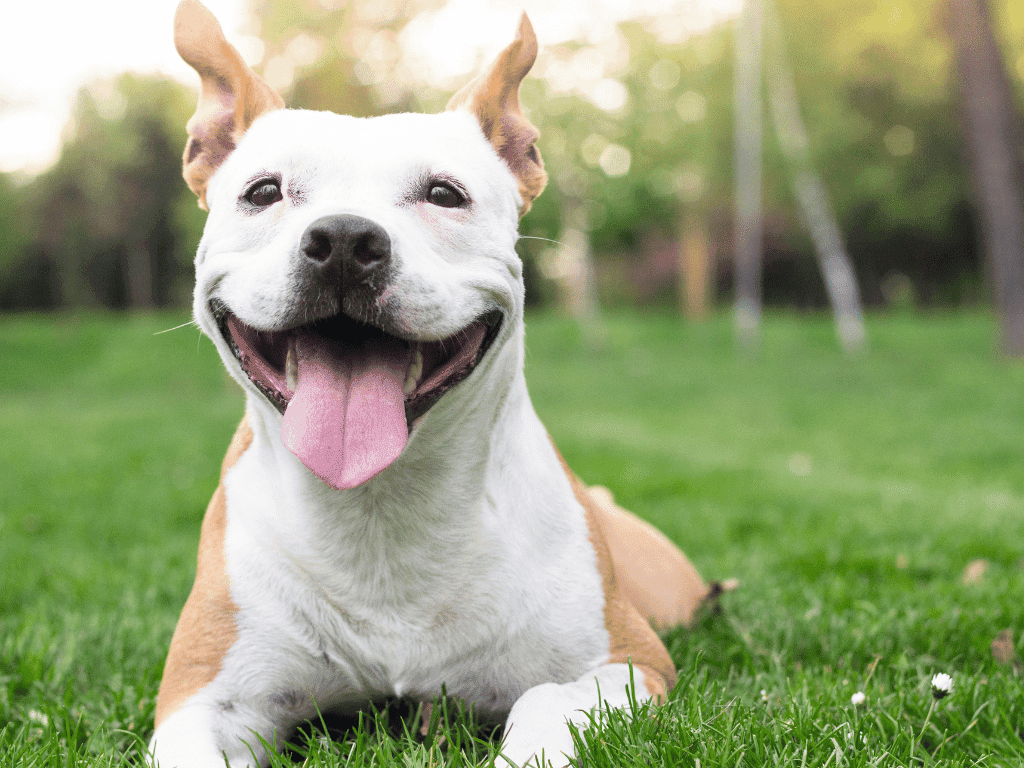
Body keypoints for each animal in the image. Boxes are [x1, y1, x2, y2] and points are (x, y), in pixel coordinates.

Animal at [151, 3, 712, 765]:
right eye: (263, 192)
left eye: (445, 194)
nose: (344, 240)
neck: (380, 507)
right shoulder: (199, 699)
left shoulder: (626, 664)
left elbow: (542, 703)